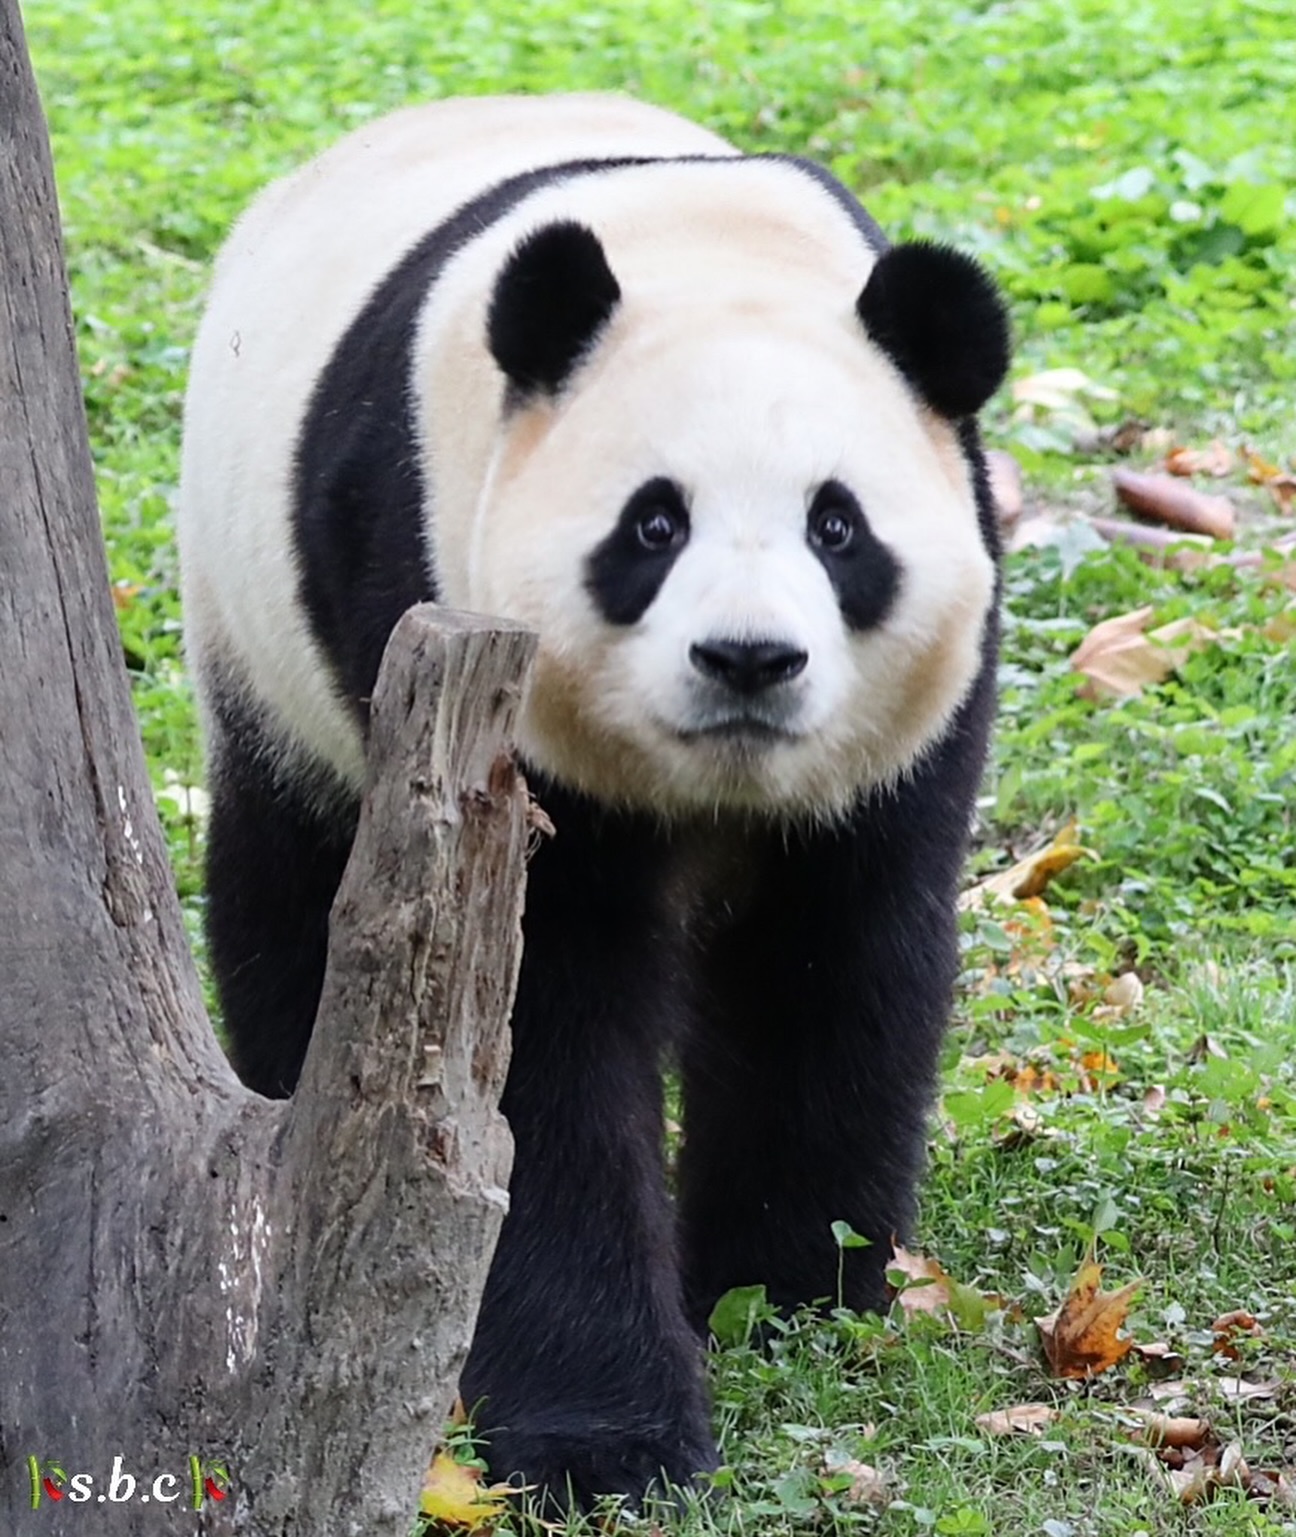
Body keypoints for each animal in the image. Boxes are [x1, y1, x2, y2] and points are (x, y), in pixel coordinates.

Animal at [179, 92, 1014, 1500]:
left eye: (838, 528)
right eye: (653, 526)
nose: (748, 659)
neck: (712, 257)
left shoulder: (902, 742)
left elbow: (829, 969)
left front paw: (789, 1289)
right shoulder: (439, 602)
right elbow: (526, 1042)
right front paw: (606, 1439)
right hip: (258, 635)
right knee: (289, 876)